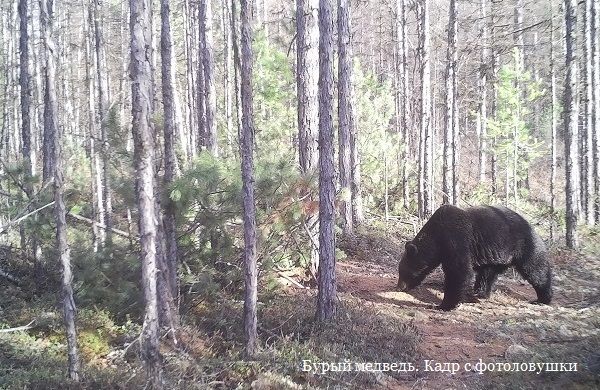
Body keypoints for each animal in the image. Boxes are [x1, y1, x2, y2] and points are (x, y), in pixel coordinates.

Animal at [398, 204, 552, 310]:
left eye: (403, 271)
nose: (399, 287)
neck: (437, 237)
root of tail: (531, 225)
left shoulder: (456, 239)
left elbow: (459, 271)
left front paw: (444, 305)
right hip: (496, 256)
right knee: (487, 274)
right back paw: (479, 293)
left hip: (524, 245)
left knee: (536, 269)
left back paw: (542, 298)